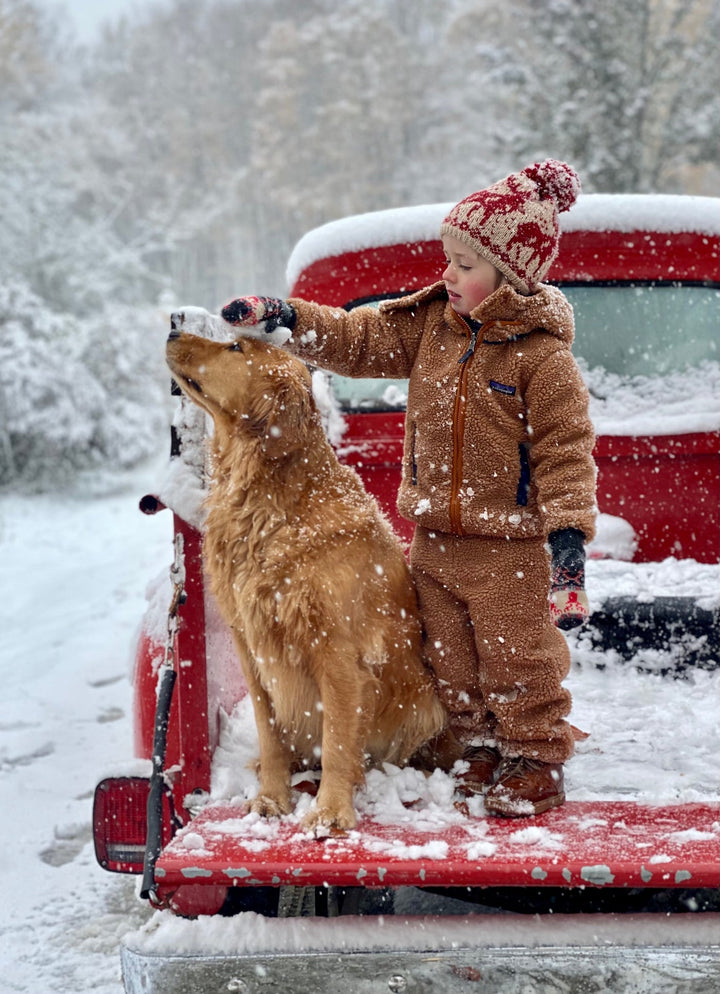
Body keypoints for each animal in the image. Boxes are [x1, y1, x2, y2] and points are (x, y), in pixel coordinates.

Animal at [167, 324, 444, 828]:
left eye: (236, 347)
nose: (173, 329)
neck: (269, 503)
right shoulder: (251, 646)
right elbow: (271, 735)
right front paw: (272, 798)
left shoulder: (337, 651)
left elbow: (337, 740)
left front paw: (331, 812)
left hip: (425, 705)